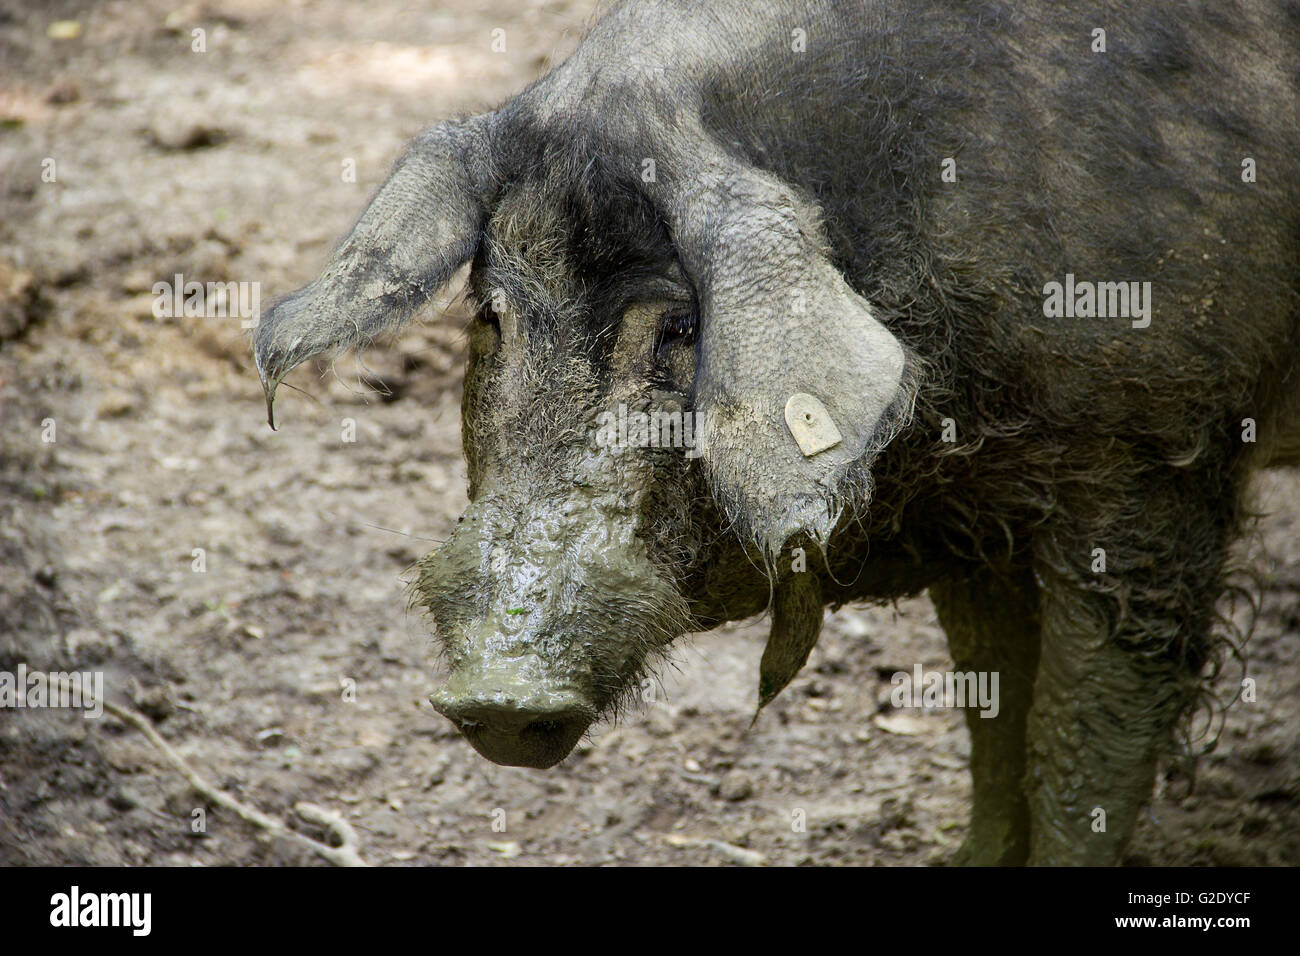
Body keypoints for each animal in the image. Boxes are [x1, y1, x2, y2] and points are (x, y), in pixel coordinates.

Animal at [253, 1, 1300, 868]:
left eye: (681, 328)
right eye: (492, 317)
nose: (500, 696)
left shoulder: (1158, 456)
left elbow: (1079, 745)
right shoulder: (978, 515)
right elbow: (992, 704)